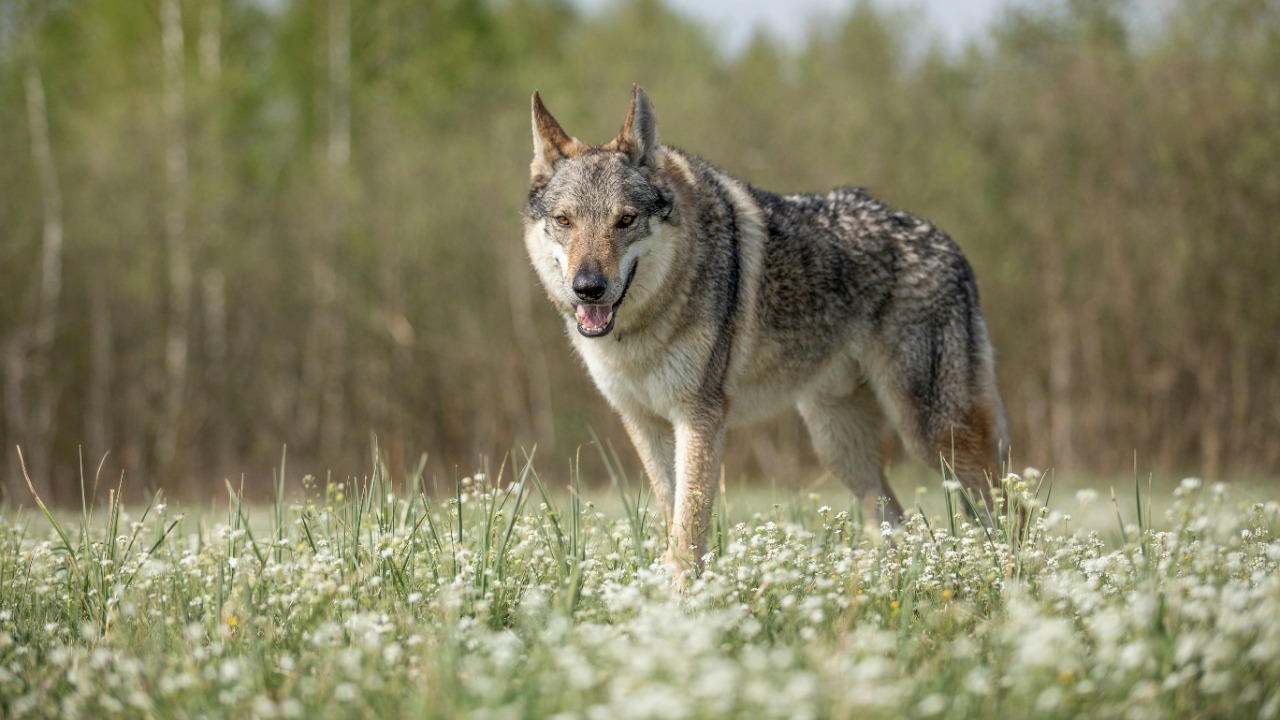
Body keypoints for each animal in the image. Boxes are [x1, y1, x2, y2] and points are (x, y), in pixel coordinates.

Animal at [523, 85, 1008, 579]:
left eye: (625, 220)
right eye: (565, 221)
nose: (588, 288)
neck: (640, 332)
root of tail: (951, 246)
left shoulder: (699, 418)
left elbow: (687, 531)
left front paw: (681, 594)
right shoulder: (644, 424)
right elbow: (672, 518)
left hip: (935, 436)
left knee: (1005, 510)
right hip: (839, 445)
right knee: (894, 516)